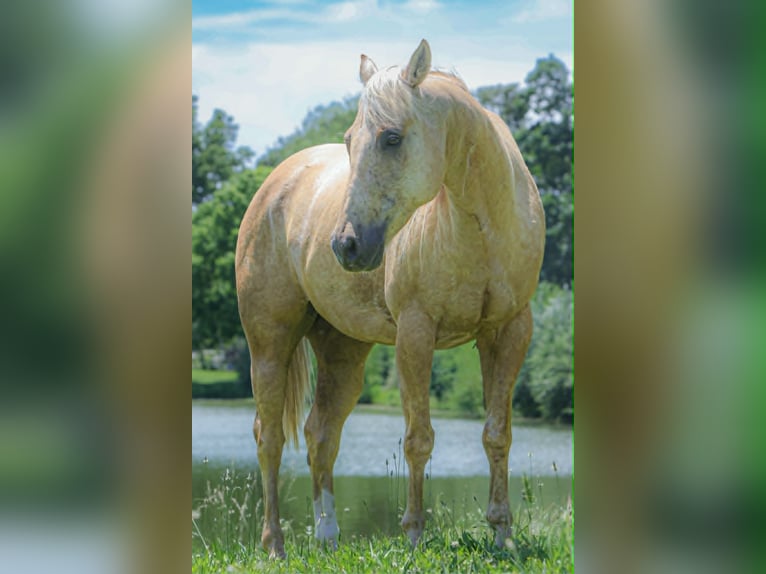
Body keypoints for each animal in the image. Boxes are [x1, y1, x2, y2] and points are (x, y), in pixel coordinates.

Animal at [235, 39, 545, 558]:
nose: (345, 245)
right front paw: (415, 534)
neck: (480, 226)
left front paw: (502, 534)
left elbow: (497, 434)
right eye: (348, 140)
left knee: (320, 433)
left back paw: (327, 538)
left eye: (392, 138)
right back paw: (274, 544)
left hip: (343, 351)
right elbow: (418, 438)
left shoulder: (509, 332)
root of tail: (276, 182)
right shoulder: (416, 334)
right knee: (270, 437)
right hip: (269, 346)